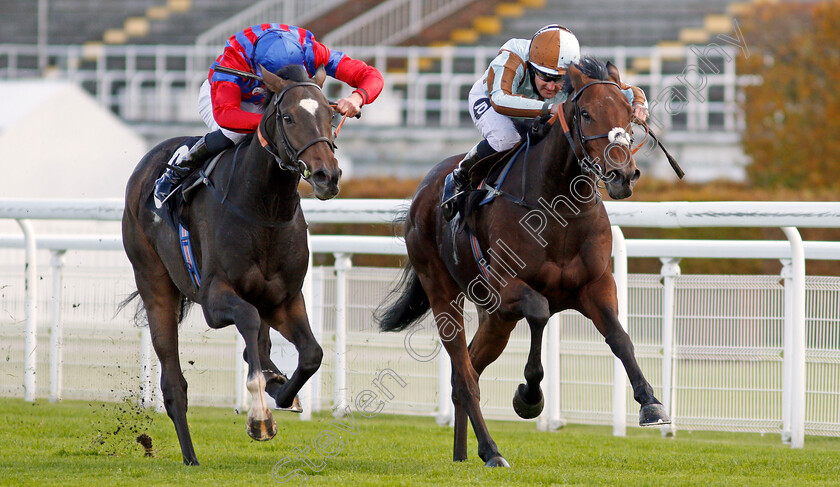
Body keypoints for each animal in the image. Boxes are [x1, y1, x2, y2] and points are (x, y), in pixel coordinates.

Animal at [121, 63, 338, 466]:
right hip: (153, 281)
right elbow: (249, 322)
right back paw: (190, 456)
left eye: (330, 115)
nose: (326, 176)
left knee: (262, 344)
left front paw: (282, 392)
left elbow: (311, 354)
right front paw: (260, 417)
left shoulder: (285, 299)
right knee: (173, 382)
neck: (263, 210)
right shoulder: (214, 298)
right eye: (288, 117)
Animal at [378, 58, 672, 468]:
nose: (622, 175)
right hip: (444, 292)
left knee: (468, 369)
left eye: (629, 114)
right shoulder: (508, 288)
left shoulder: (596, 285)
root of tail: (422, 192)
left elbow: (620, 338)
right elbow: (539, 310)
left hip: (495, 318)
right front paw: (529, 397)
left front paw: (651, 404)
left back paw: (463, 453)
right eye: (585, 113)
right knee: (464, 376)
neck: (559, 208)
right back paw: (491, 451)